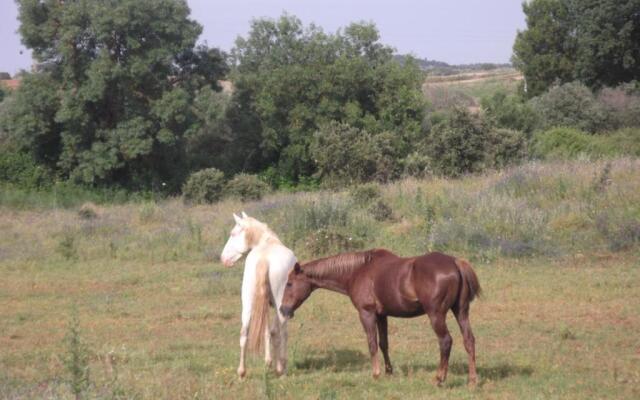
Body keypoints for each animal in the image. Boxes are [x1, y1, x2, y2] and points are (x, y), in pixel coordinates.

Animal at [219, 212, 296, 378]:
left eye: (233, 234)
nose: (223, 259)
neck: (267, 242)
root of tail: (265, 258)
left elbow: (265, 330)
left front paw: (268, 362)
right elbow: (276, 332)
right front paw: (274, 363)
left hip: (248, 303)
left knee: (244, 332)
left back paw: (242, 372)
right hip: (280, 306)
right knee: (279, 332)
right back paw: (281, 369)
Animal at [280, 250, 480, 384]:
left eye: (289, 283)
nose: (283, 309)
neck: (358, 271)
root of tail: (456, 262)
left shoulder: (367, 313)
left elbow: (372, 343)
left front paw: (375, 374)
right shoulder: (382, 315)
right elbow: (384, 343)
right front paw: (388, 372)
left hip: (436, 315)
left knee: (445, 341)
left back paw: (439, 378)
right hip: (461, 311)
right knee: (469, 340)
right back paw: (472, 380)